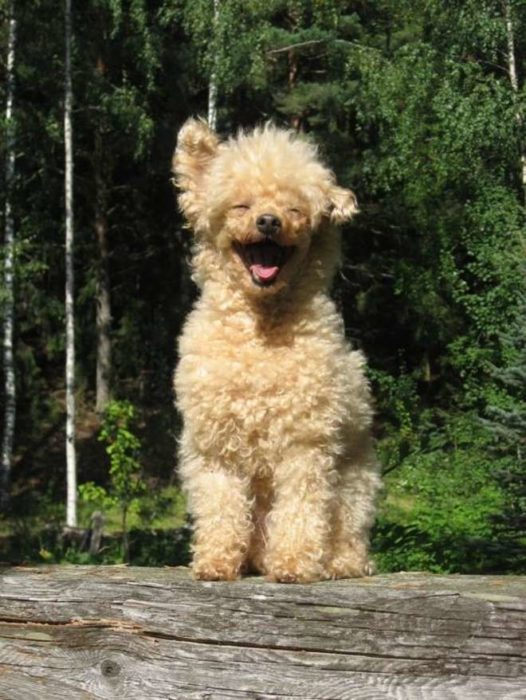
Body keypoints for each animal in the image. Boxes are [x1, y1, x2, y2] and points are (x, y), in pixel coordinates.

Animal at [174, 120, 384, 584]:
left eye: (294, 209)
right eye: (241, 205)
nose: (268, 221)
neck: (261, 332)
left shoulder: (306, 442)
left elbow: (301, 506)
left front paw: (294, 563)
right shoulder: (216, 445)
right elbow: (221, 504)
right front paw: (215, 560)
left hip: (356, 484)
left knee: (347, 530)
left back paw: (338, 563)